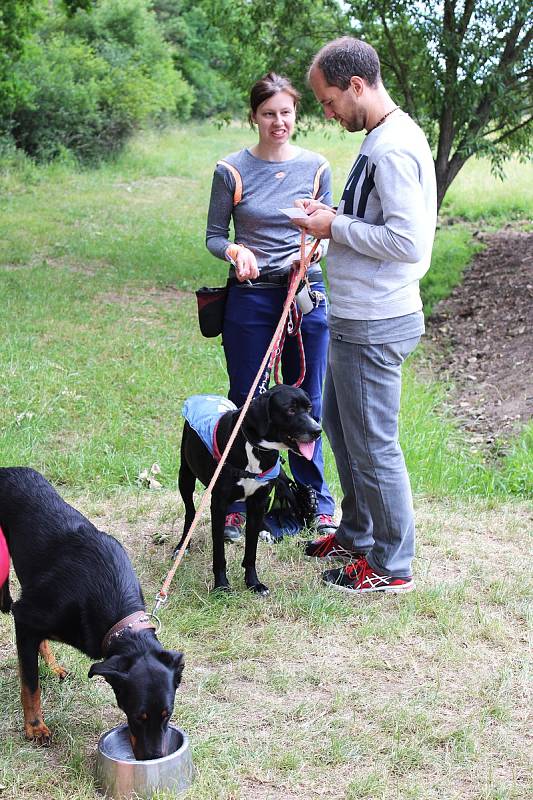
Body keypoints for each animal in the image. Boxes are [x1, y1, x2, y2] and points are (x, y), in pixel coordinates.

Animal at [0, 468, 184, 764]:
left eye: (169, 714)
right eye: (138, 717)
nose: (154, 759)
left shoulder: (30, 618)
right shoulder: (25, 616)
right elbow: (30, 684)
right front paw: (35, 727)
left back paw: (54, 666)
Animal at [175, 384, 320, 596]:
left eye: (309, 408)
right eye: (291, 410)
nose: (317, 430)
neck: (256, 448)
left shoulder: (258, 501)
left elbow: (251, 551)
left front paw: (254, 583)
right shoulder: (218, 504)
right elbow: (219, 553)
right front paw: (221, 585)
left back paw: (266, 530)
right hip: (185, 475)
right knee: (190, 511)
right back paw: (181, 546)